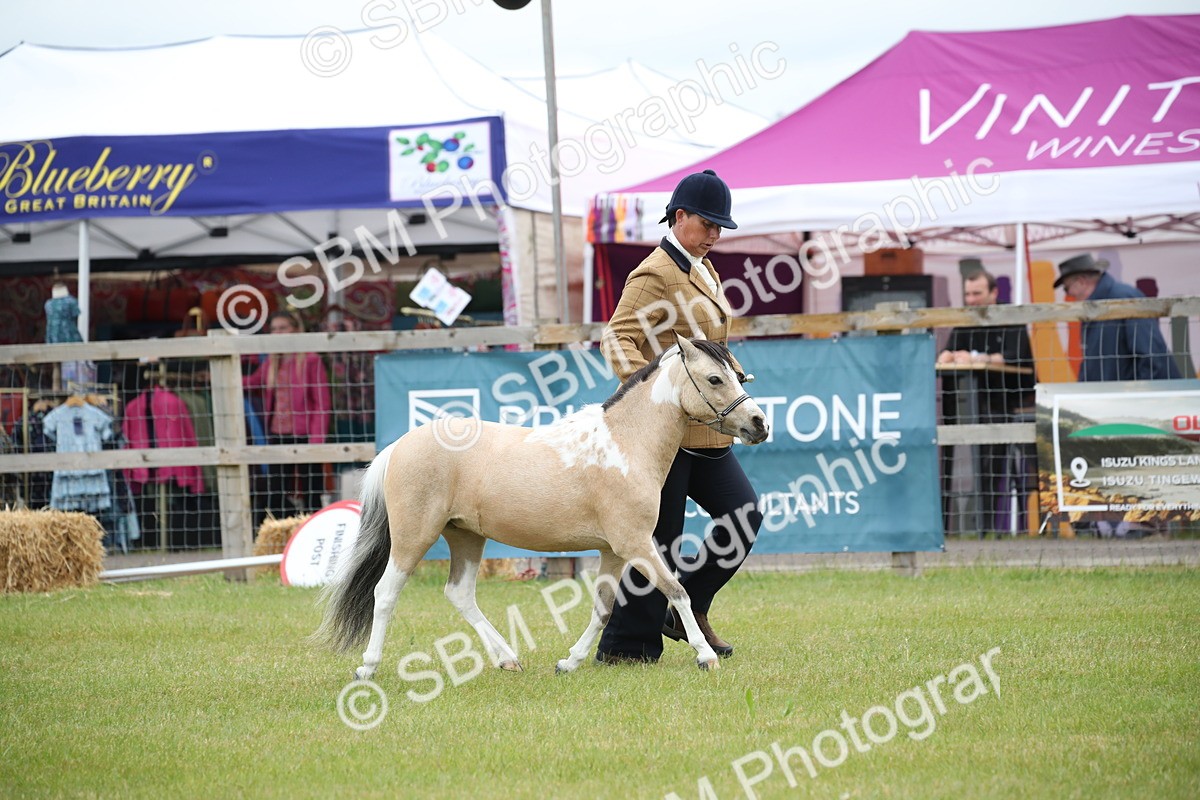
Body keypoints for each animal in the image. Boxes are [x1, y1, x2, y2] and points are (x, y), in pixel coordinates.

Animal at [313, 334, 769, 675]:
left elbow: (603, 607)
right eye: (715, 379)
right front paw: (705, 656)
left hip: (465, 536)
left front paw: (570, 662)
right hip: (414, 536)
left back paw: (507, 659)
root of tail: (399, 446)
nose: (759, 424)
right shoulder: (636, 544)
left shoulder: (613, 551)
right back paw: (368, 666)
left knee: (460, 594)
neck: (625, 443)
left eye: (738, 375)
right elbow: (677, 590)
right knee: (386, 591)